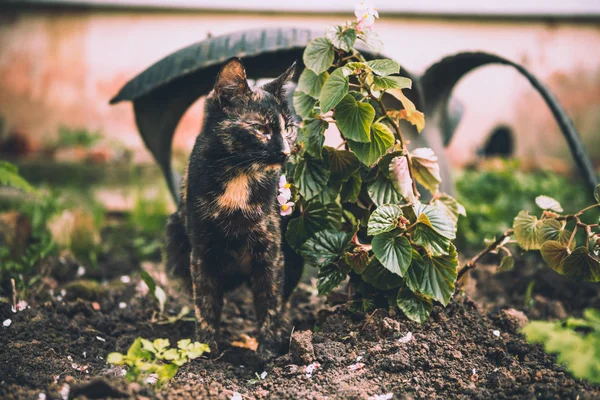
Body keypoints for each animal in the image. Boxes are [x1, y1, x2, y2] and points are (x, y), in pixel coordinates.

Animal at [165, 57, 304, 360]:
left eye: (289, 128)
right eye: (261, 129)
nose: (285, 152)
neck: (239, 176)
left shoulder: (271, 250)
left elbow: (270, 301)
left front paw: (268, 351)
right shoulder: (201, 251)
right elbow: (205, 302)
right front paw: (205, 349)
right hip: (176, 237)